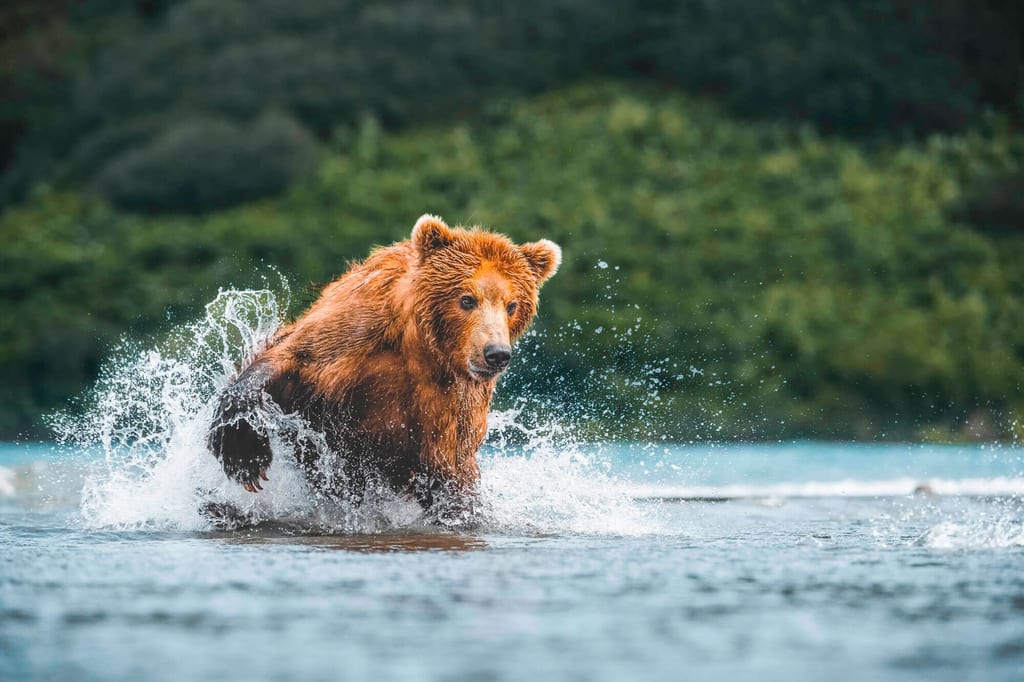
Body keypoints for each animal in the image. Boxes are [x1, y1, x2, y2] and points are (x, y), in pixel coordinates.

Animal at [207, 214, 561, 515]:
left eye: (512, 304)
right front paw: (243, 454)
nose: (495, 353)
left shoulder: (451, 404)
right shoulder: (355, 332)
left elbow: (451, 468)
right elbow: (289, 358)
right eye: (466, 299)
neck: (422, 346)